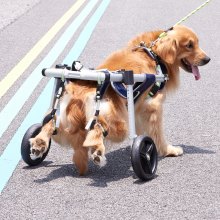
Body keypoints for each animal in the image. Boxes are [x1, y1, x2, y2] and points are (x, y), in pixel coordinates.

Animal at [29, 24, 210, 175]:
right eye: (189, 45)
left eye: (197, 43)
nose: (207, 59)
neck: (154, 55)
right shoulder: (153, 106)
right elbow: (157, 135)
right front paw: (167, 150)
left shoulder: (137, 107)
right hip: (117, 122)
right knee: (98, 128)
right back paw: (97, 151)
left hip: (61, 116)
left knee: (49, 123)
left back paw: (39, 144)